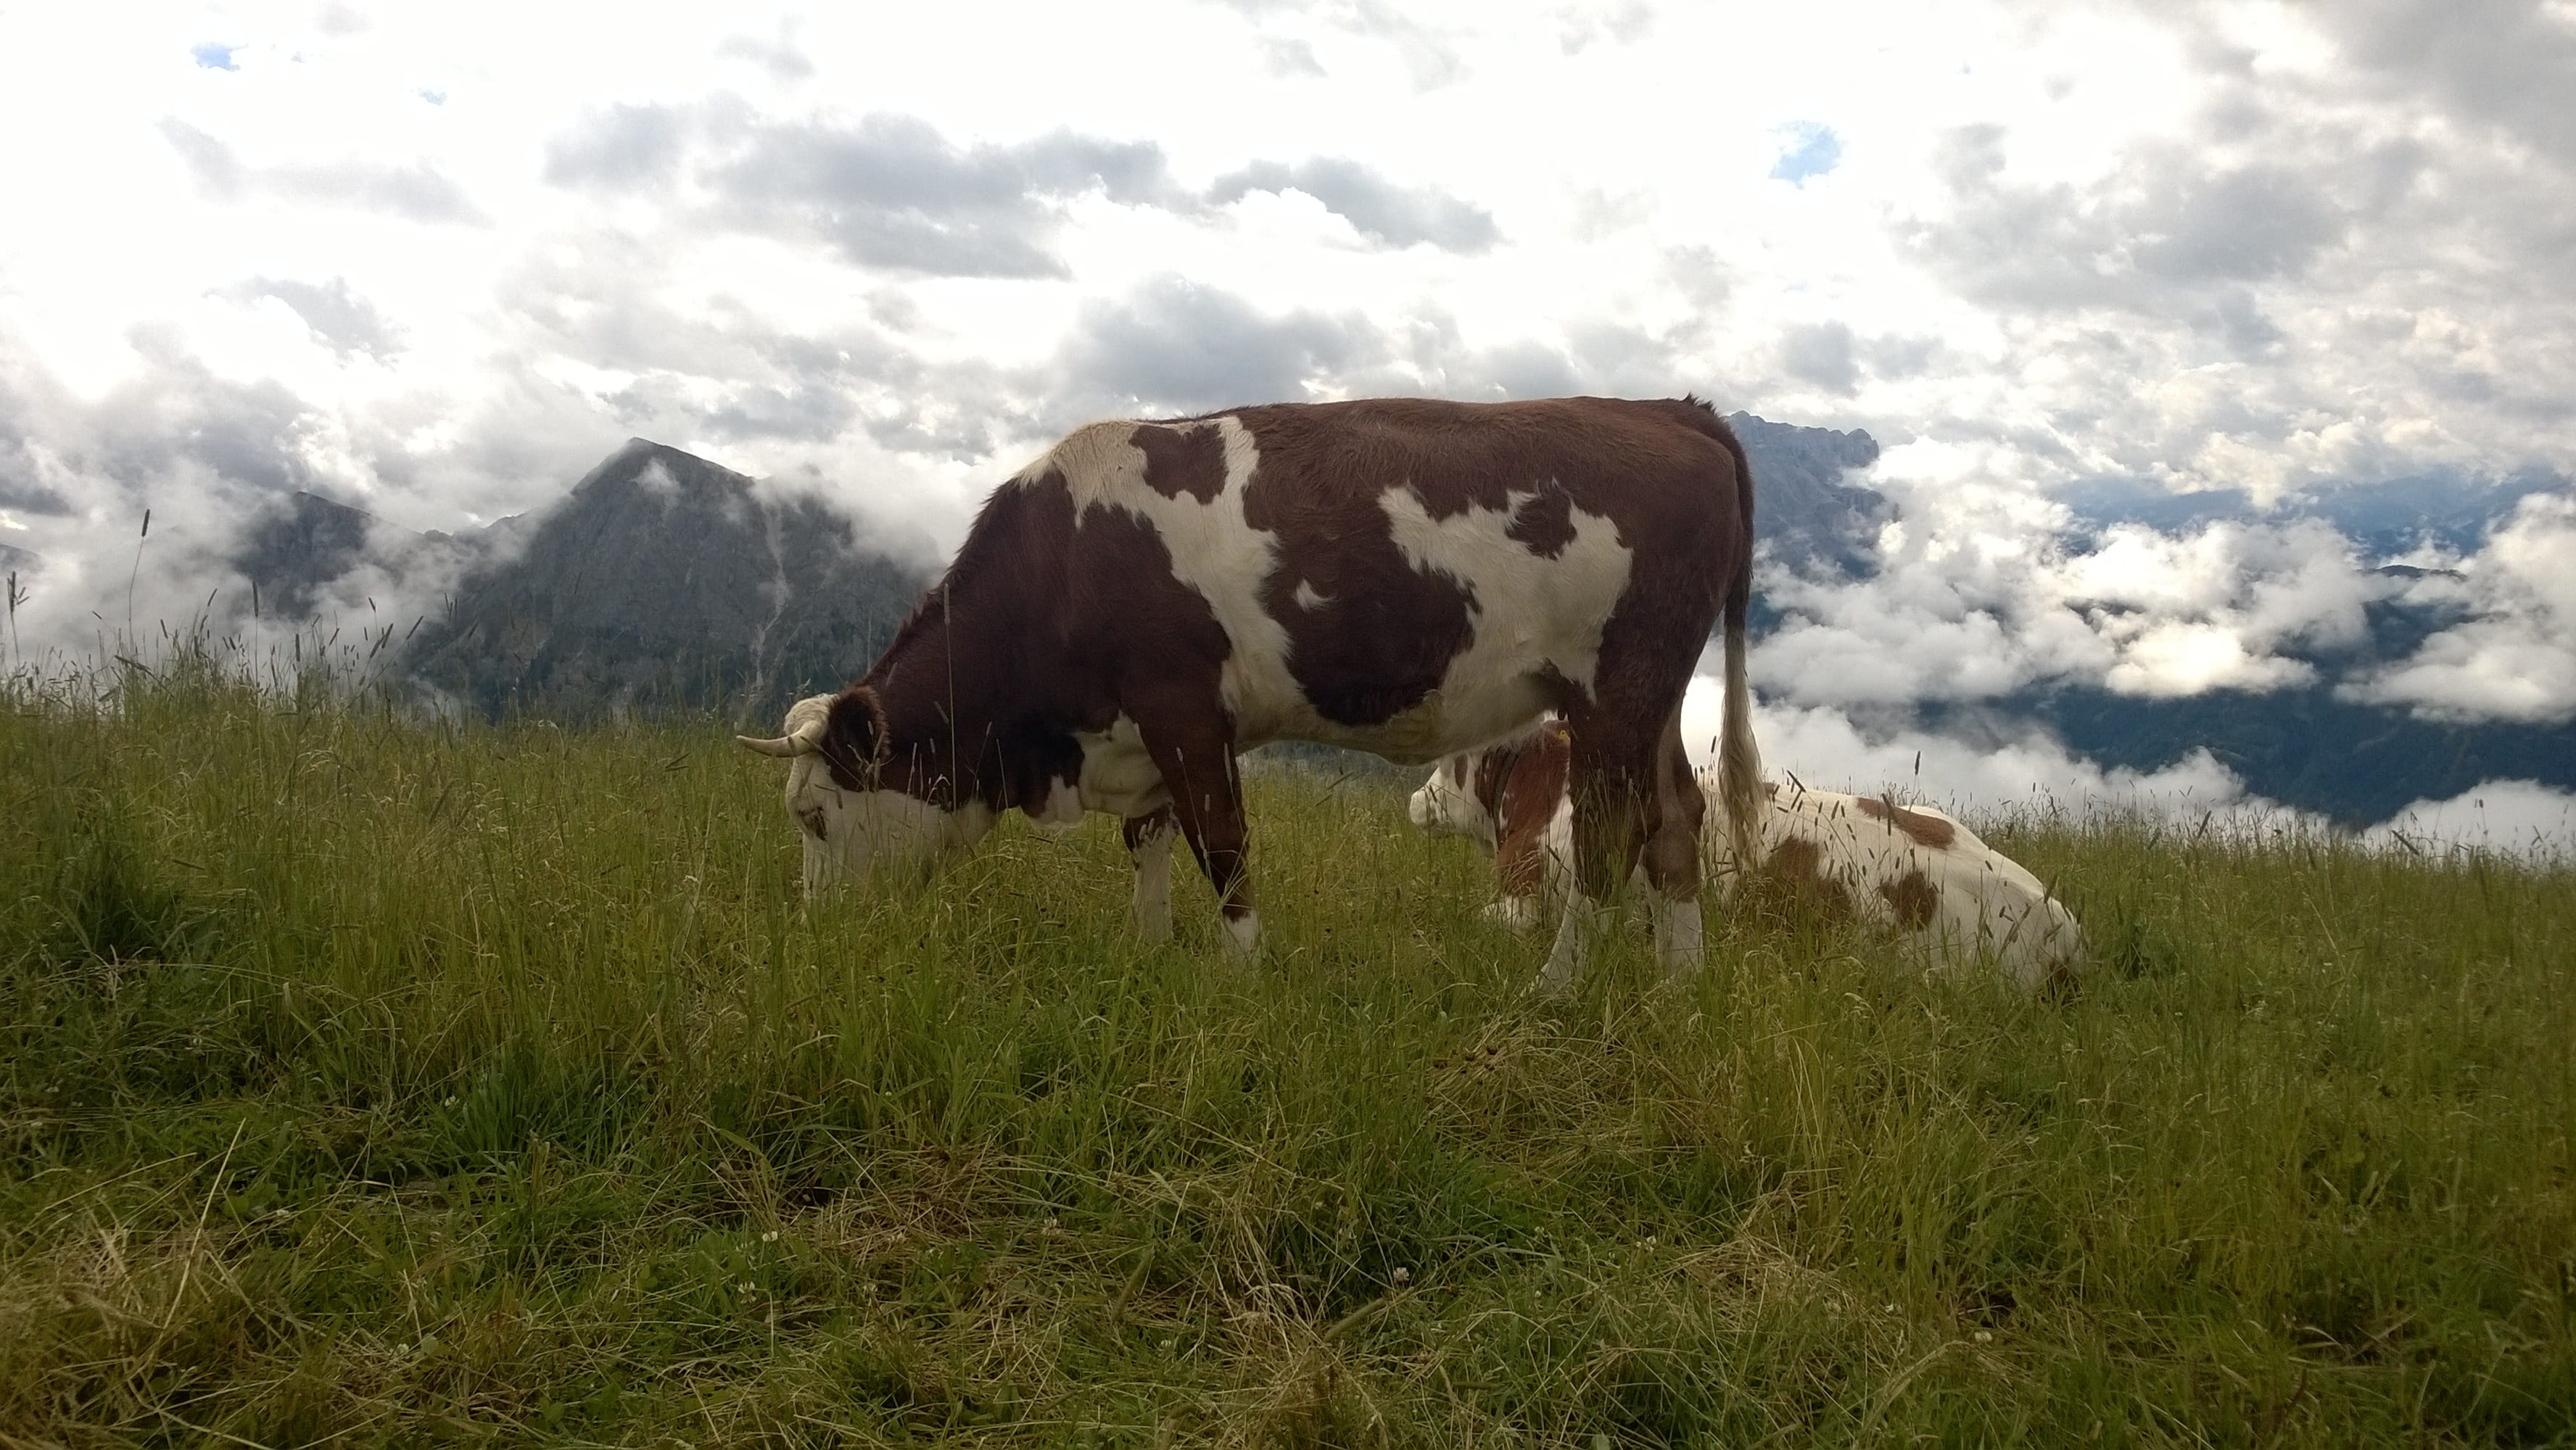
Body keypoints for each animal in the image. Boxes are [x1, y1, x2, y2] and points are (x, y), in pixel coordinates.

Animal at [738, 396, 1764, 983]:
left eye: (816, 816)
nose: (818, 931)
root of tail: (1672, 409)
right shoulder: (1141, 729)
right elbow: (1149, 839)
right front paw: (1148, 949)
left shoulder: (1183, 707)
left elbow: (1220, 844)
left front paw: (1243, 971)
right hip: (1650, 698)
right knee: (1675, 819)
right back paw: (1679, 988)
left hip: (1614, 683)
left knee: (1609, 834)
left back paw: (1555, 987)